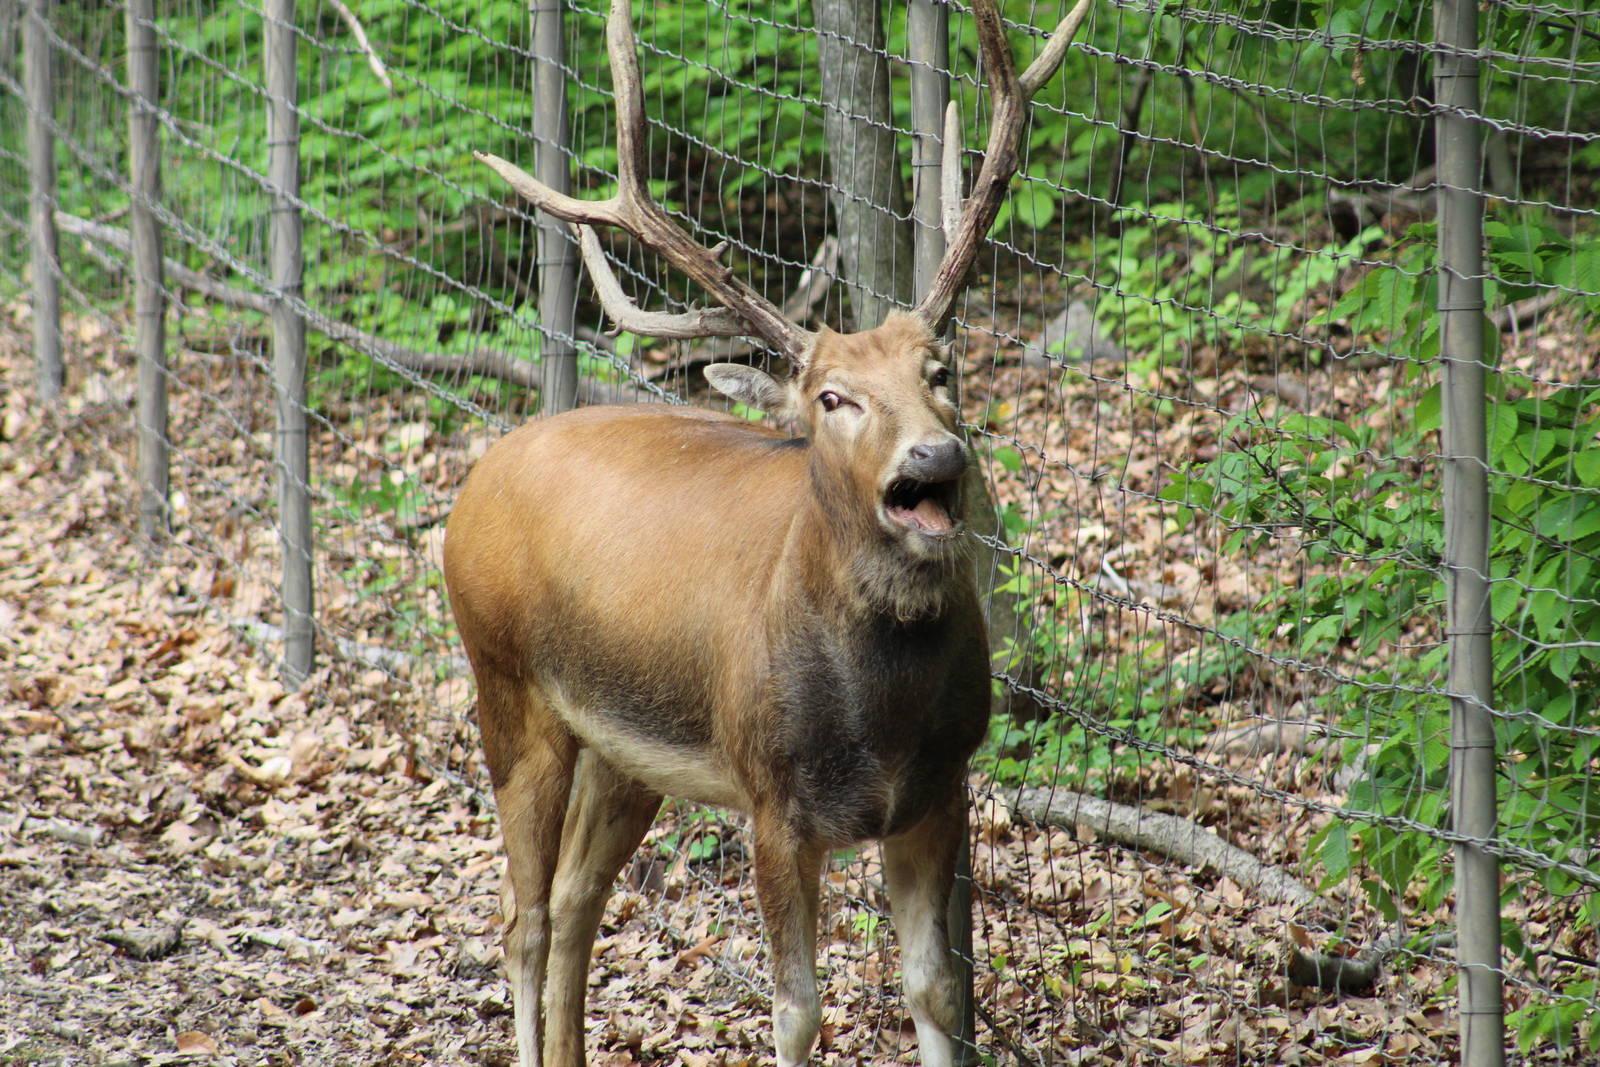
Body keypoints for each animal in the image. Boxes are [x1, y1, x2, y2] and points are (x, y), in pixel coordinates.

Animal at [443, 1, 1090, 1064]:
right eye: (833, 397)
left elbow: (937, 989)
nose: (934, 458)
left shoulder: (940, 788)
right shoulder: (773, 797)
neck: (880, 718)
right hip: (507, 688)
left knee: (577, 900)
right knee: (521, 919)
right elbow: (797, 1010)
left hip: (626, 747)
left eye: (941, 368)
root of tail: (472, 486)